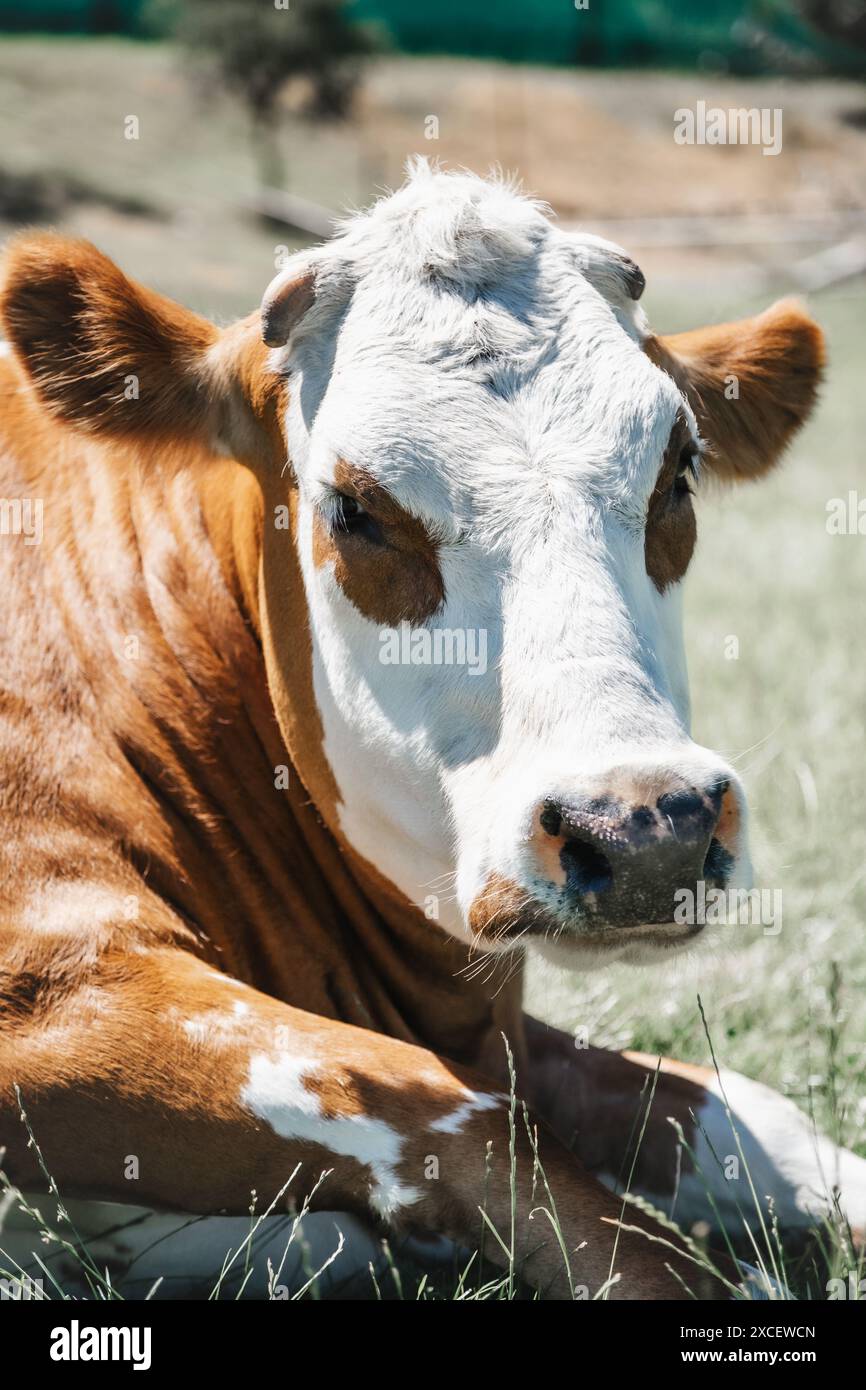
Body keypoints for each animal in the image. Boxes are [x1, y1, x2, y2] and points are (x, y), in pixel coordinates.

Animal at [0, 161, 863, 1300]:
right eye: (355, 509)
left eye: (677, 472)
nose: (645, 827)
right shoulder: (48, 985)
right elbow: (454, 1115)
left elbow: (741, 1117)